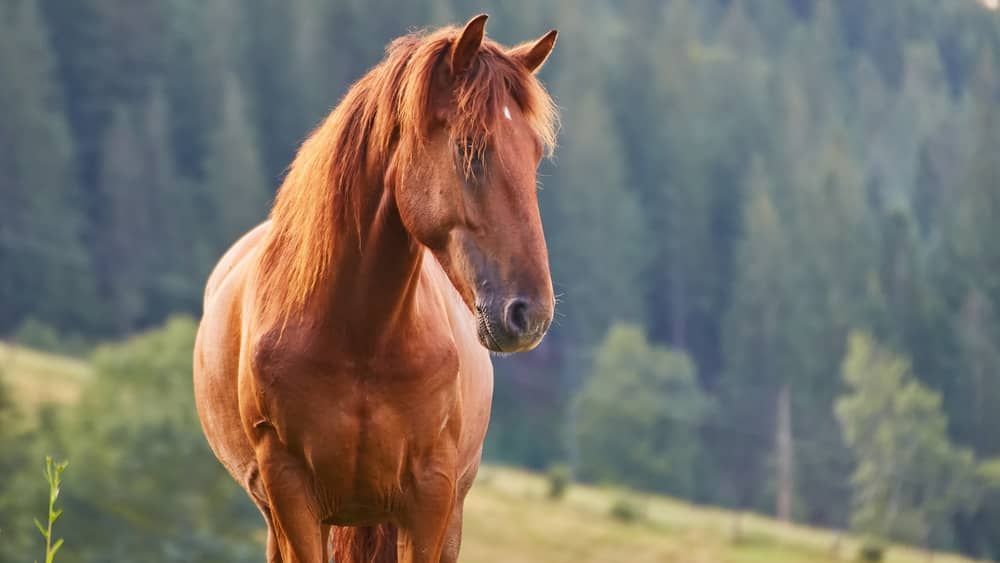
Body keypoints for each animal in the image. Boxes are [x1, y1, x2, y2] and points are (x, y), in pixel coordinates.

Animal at [193, 14, 559, 562]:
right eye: (470, 150)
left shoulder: (430, 500)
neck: (361, 340)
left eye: (534, 156)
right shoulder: (291, 493)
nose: (529, 314)